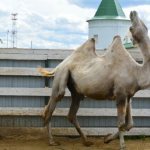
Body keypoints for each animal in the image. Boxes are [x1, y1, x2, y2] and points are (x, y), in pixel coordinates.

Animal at [38, 10, 149, 150]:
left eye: (146, 26)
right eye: (131, 27)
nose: (133, 12)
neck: (136, 72)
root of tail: (58, 66)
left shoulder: (128, 95)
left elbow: (130, 124)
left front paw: (107, 139)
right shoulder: (120, 94)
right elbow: (121, 123)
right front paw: (122, 145)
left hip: (76, 91)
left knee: (71, 114)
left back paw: (86, 141)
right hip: (61, 77)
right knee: (52, 104)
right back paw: (52, 141)